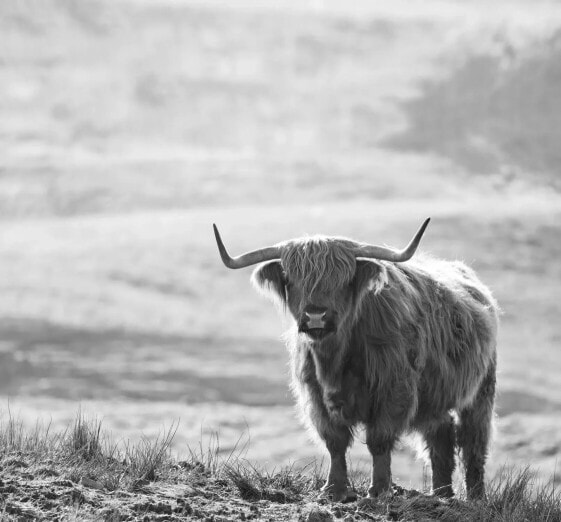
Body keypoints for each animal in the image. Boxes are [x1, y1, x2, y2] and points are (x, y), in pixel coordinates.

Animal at [212, 217, 496, 502]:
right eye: (291, 279)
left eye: (344, 280)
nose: (316, 316)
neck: (335, 360)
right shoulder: (316, 395)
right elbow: (334, 442)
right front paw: (334, 489)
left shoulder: (394, 390)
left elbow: (379, 440)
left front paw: (379, 489)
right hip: (434, 399)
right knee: (441, 437)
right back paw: (441, 494)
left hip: (481, 392)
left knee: (473, 443)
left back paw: (475, 497)